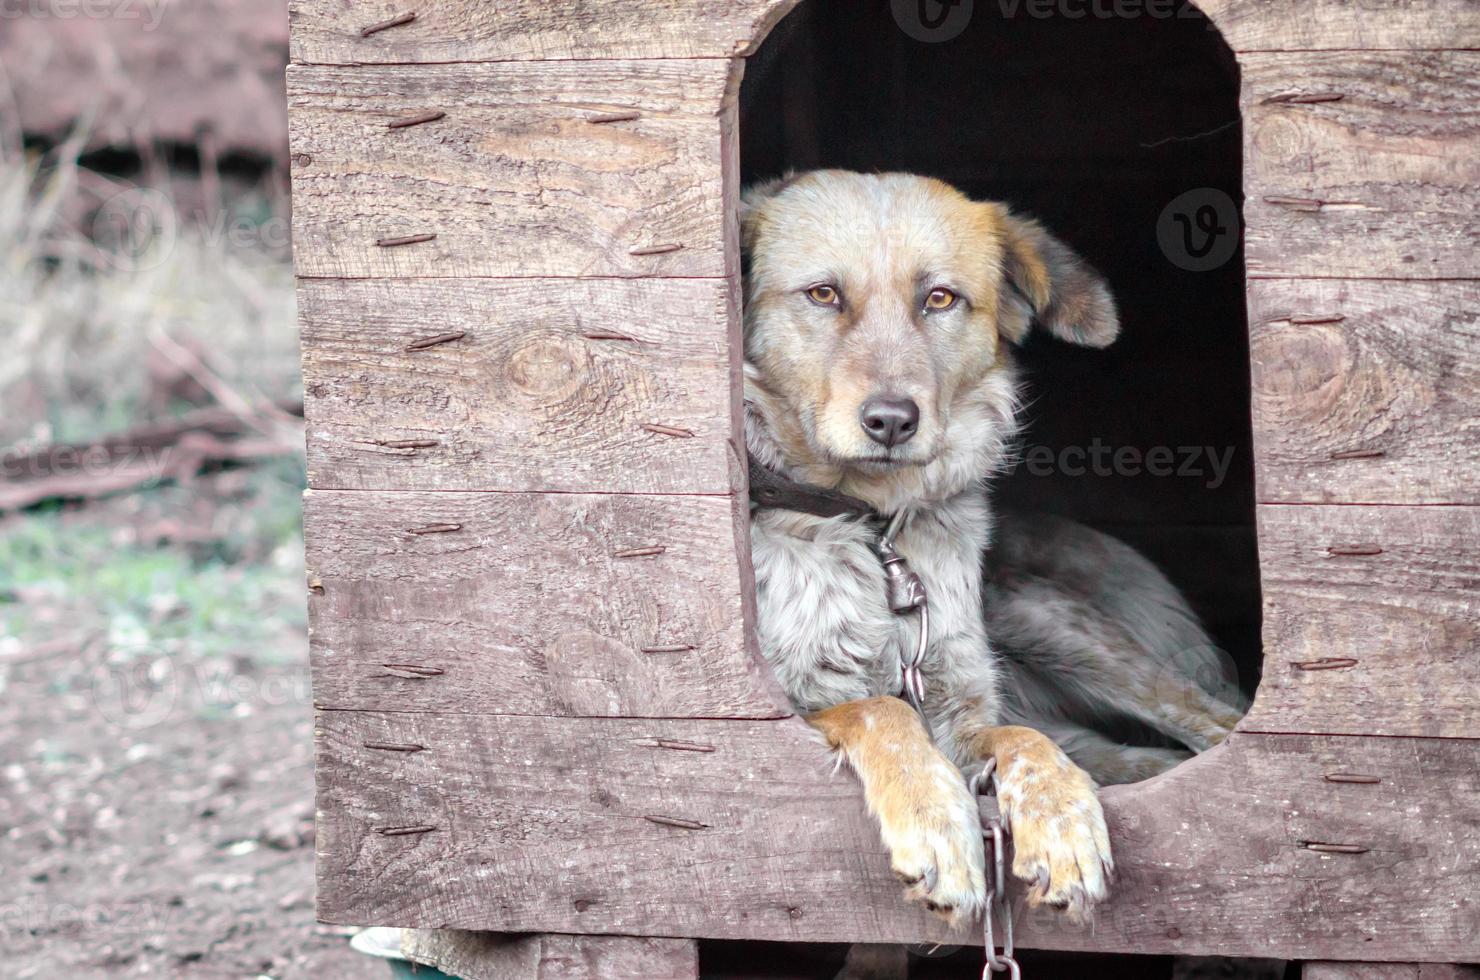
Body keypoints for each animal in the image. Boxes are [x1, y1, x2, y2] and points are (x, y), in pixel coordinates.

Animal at [740, 170, 1249, 935]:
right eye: (823, 294)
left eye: (940, 298)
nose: (891, 420)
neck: (873, 529)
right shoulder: (796, 702)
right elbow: (883, 711)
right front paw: (936, 824)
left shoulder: (965, 704)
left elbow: (1021, 742)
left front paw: (1063, 825)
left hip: (1055, 625)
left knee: (1208, 726)